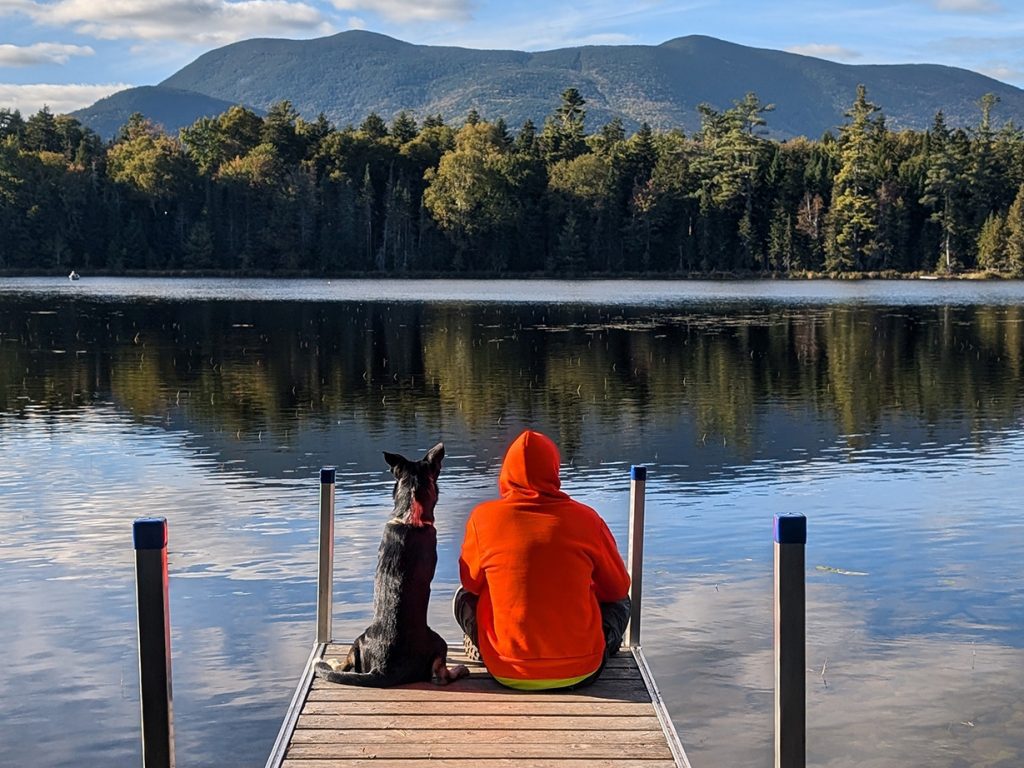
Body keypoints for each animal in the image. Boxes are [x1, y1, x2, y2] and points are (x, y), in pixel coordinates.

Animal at [313, 442, 468, 688]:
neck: (410, 514)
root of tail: (383, 669)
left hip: (359, 640)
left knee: (347, 663)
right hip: (438, 641)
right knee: (441, 676)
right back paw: (459, 670)